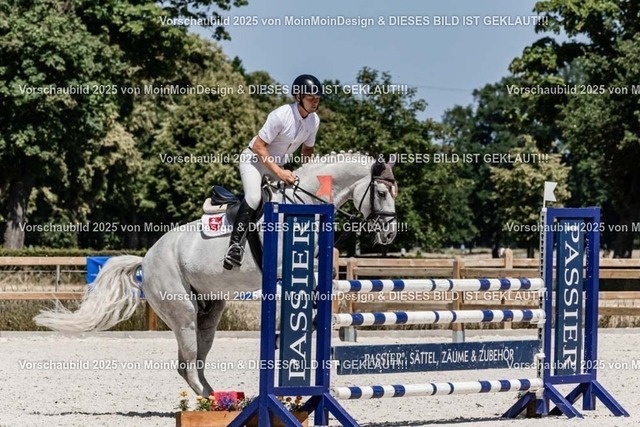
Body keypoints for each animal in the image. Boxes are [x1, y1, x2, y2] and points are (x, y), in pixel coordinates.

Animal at [34, 153, 398, 396]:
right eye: (381, 193)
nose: (390, 233)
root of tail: (146, 258)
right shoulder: (283, 274)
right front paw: (284, 336)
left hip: (209, 311)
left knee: (198, 357)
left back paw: (219, 399)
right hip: (181, 309)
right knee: (186, 363)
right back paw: (210, 402)